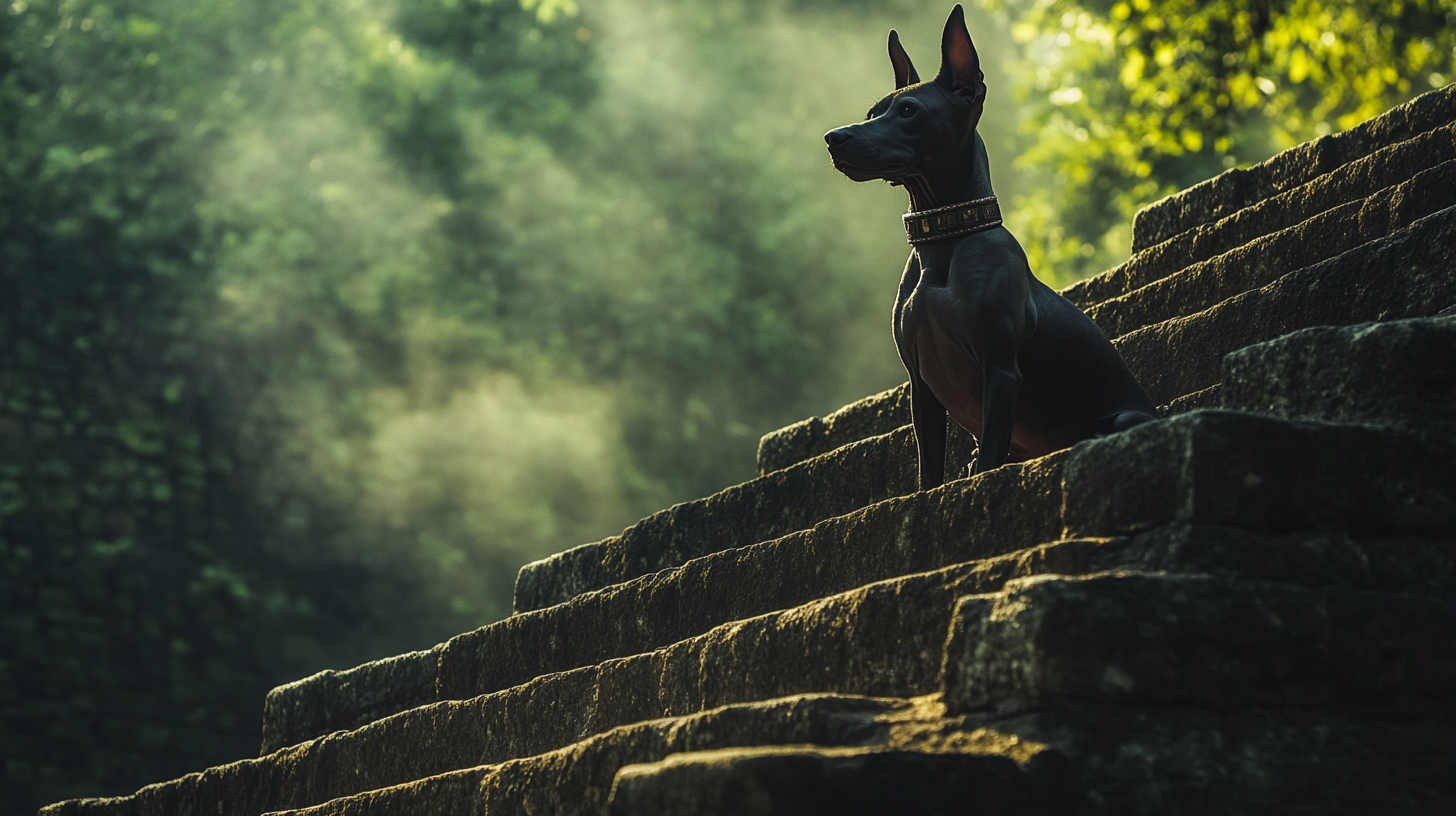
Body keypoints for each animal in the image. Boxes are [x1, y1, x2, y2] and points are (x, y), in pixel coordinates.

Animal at [827, 4, 1153, 489]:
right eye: (872, 112)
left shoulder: (1000, 372)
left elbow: (990, 456)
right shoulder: (921, 388)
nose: (834, 138)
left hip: (1124, 419)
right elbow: (930, 469)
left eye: (908, 111)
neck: (945, 239)